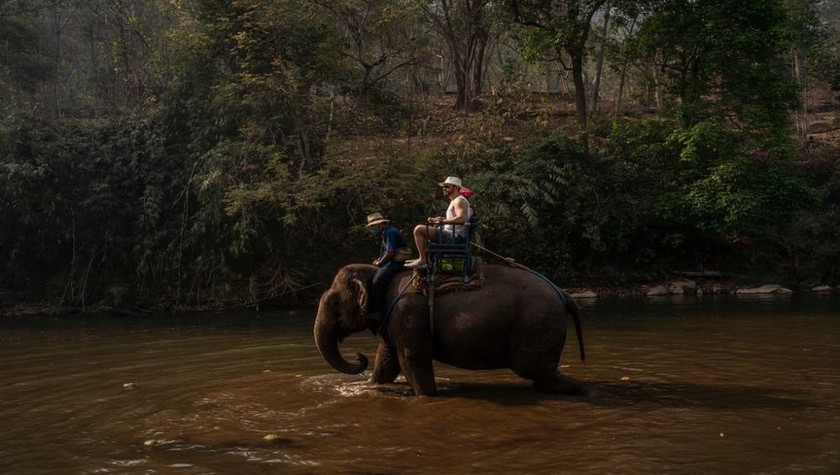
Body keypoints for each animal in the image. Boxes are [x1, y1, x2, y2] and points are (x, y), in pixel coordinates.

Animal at [314, 262, 584, 396]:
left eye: (333, 303)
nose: (359, 356)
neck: (379, 274)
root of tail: (564, 294)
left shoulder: (407, 312)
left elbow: (411, 358)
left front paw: (426, 395)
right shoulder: (394, 318)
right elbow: (387, 360)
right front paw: (373, 386)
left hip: (536, 326)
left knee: (532, 367)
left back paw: (574, 388)